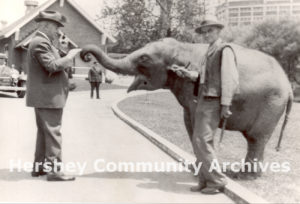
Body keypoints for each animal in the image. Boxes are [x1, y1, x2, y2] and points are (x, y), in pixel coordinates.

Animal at [80, 37, 292, 178]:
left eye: (144, 59)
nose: (85, 55)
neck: (182, 46)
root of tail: (289, 85)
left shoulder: (196, 91)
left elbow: (198, 122)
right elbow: (189, 123)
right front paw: (196, 168)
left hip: (271, 104)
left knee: (256, 138)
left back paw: (246, 177)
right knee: (254, 139)